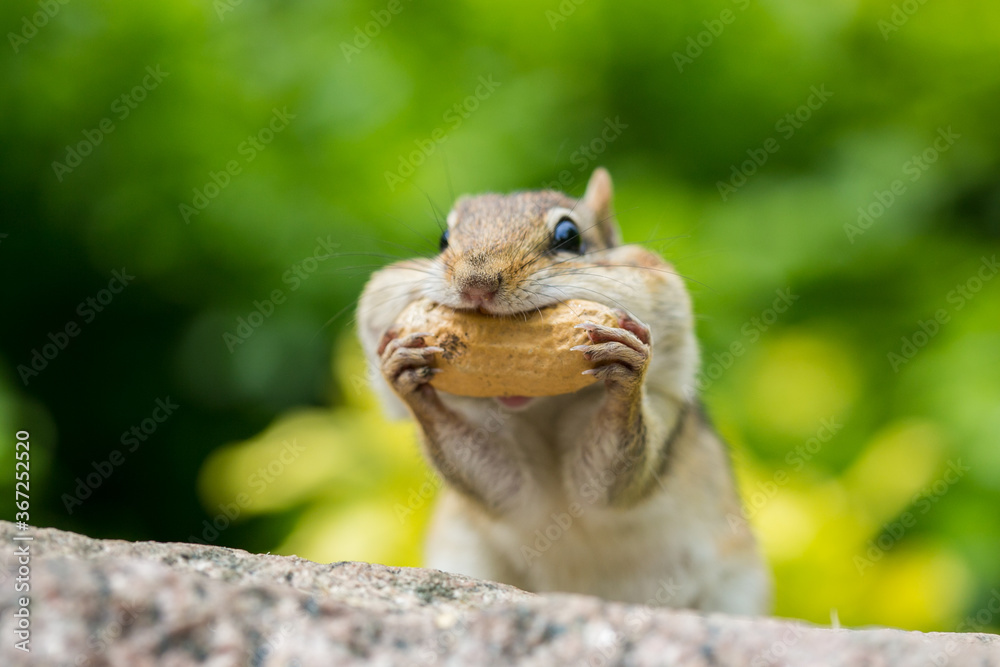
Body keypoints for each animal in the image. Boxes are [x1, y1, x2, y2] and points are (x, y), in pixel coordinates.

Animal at [357, 168, 771, 614]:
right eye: (443, 239)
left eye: (569, 236)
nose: (476, 284)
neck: (543, 407)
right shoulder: (509, 484)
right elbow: (498, 483)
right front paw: (406, 373)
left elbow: (612, 478)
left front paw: (626, 371)